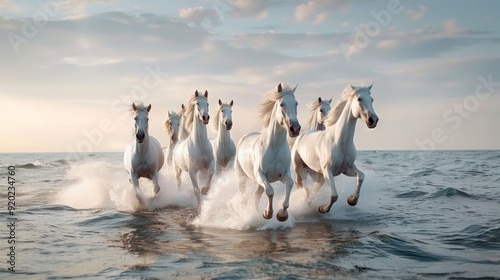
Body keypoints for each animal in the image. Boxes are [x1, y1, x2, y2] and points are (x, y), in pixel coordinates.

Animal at [235, 82, 300, 222]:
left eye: (296, 103)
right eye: (282, 104)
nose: (295, 129)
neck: (274, 147)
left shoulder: (283, 175)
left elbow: (290, 184)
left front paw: (282, 214)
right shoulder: (261, 175)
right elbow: (270, 192)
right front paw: (268, 213)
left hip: (259, 183)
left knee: (256, 196)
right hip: (242, 177)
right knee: (244, 197)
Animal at [290, 84, 378, 213]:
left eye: (372, 100)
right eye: (359, 99)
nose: (373, 120)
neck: (340, 142)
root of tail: (301, 136)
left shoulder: (347, 169)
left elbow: (361, 177)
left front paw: (352, 200)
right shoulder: (328, 171)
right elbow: (334, 196)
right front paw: (322, 208)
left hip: (318, 175)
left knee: (313, 189)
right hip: (300, 168)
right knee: (301, 185)